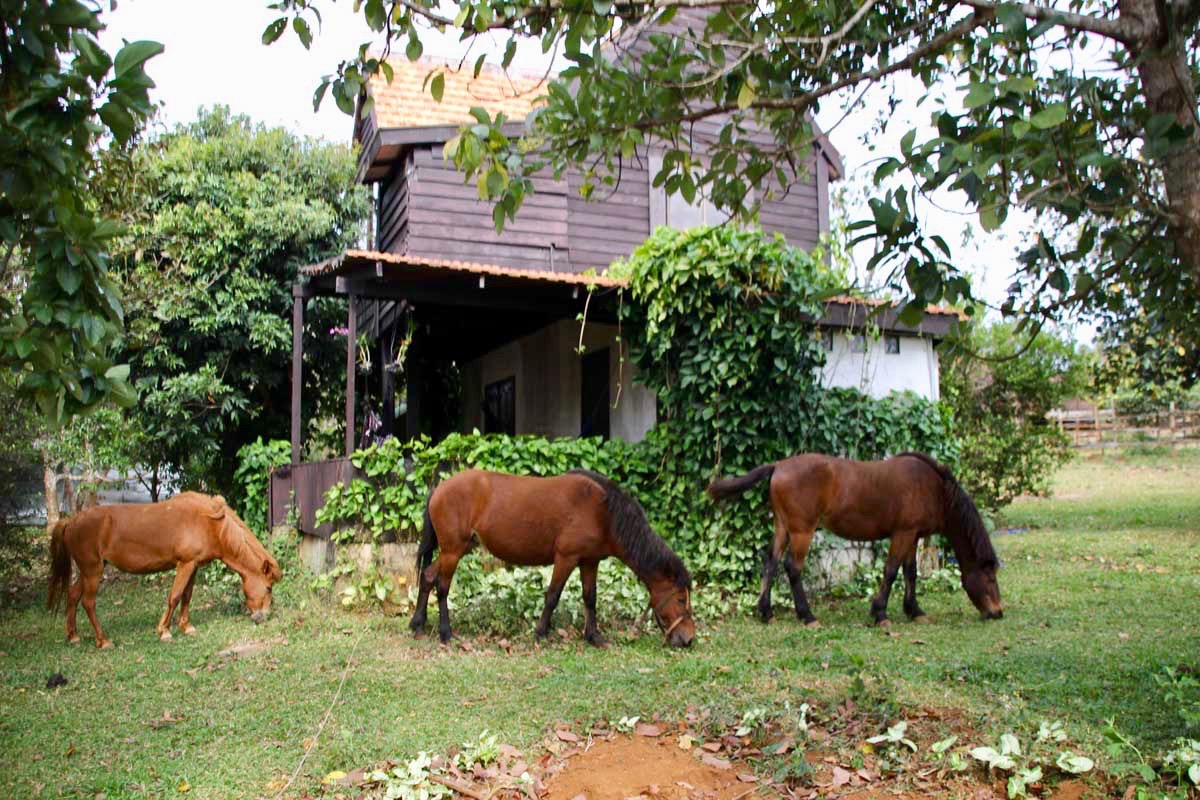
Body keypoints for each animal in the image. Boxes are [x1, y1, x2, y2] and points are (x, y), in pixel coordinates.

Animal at [48, 491, 282, 647]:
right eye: (269, 588)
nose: (262, 617)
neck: (210, 524)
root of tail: (71, 521)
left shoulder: (193, 565)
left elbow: (187, 596)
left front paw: (186, 627)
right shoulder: (185, 564)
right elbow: (175, 596)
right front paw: (164, 631)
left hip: (89, 571)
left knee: (73, 595)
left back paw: (73, 636)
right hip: (93, 572)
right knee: (88, 602)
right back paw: (103, 640)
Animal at [410, 472, 700, 647]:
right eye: (680, 599)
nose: (688, 638)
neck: (602, 511)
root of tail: (439, 488)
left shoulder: (589, 561)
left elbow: (590, 597)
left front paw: (594, 636)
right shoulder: (566, 558)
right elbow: (552, 596)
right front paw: (540, 633)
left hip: (457, 549)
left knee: (428, 576)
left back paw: (418, 625)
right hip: (453, 550)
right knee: (442, 586)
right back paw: (446, 633)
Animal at [700, 450, 1003, 623]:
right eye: (990, 577)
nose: (998, 612)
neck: (934, 488)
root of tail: (778, 465)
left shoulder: (913, 535)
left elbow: (910, 572)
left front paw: (914, 610)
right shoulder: (903, 534)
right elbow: (891, 571)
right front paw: (880, 613)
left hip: (783, 527)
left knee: (771, 562)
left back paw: (765, 612)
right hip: (802, 531)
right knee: (792, 567)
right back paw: (807, 615)